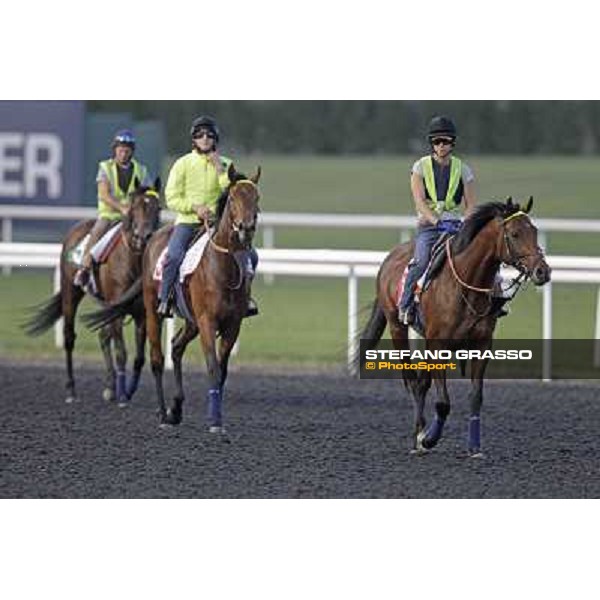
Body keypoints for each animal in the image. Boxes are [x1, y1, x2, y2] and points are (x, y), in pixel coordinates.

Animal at [24, 177, 162, 404]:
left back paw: (110, 387)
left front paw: (127, 390)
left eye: (157, 207)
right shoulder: (116, 311)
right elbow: (121, 352)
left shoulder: (141, 313)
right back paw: (71, 389)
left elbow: (139, 357)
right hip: (70, 293)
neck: (132, 259)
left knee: (103, 336)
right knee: (69, 337)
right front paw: (123, 395)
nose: (144, 236)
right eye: (135, 206)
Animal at [84, 166, 260, 434]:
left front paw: (214, 414)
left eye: (256, 197)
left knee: (176, 347)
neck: (224, 266)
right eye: (232, 198)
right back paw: (163, 413)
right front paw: (214, 420)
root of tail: (153, 239)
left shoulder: (232, 325)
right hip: (153, 311)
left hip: (190, 321)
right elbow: (212, 367)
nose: (246, 227)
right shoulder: (207, 321)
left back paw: (175, 408)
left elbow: (222, 370)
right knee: (157, 359)